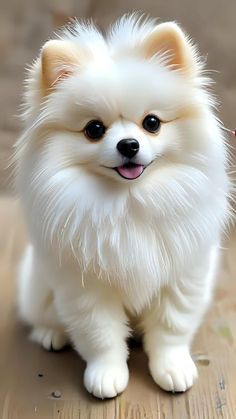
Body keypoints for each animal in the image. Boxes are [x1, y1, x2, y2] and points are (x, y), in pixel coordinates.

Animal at [15, 13, 230, 400]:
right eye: (94, 129)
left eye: (152, 123)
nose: (128, 144)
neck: (128, 201)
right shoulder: (85, 288)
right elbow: (100, 336)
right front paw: (106, 375)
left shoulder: (181, 275)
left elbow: (171, 328)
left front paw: (172, 368)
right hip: (37, 287)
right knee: (42, 315)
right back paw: (50, 334)